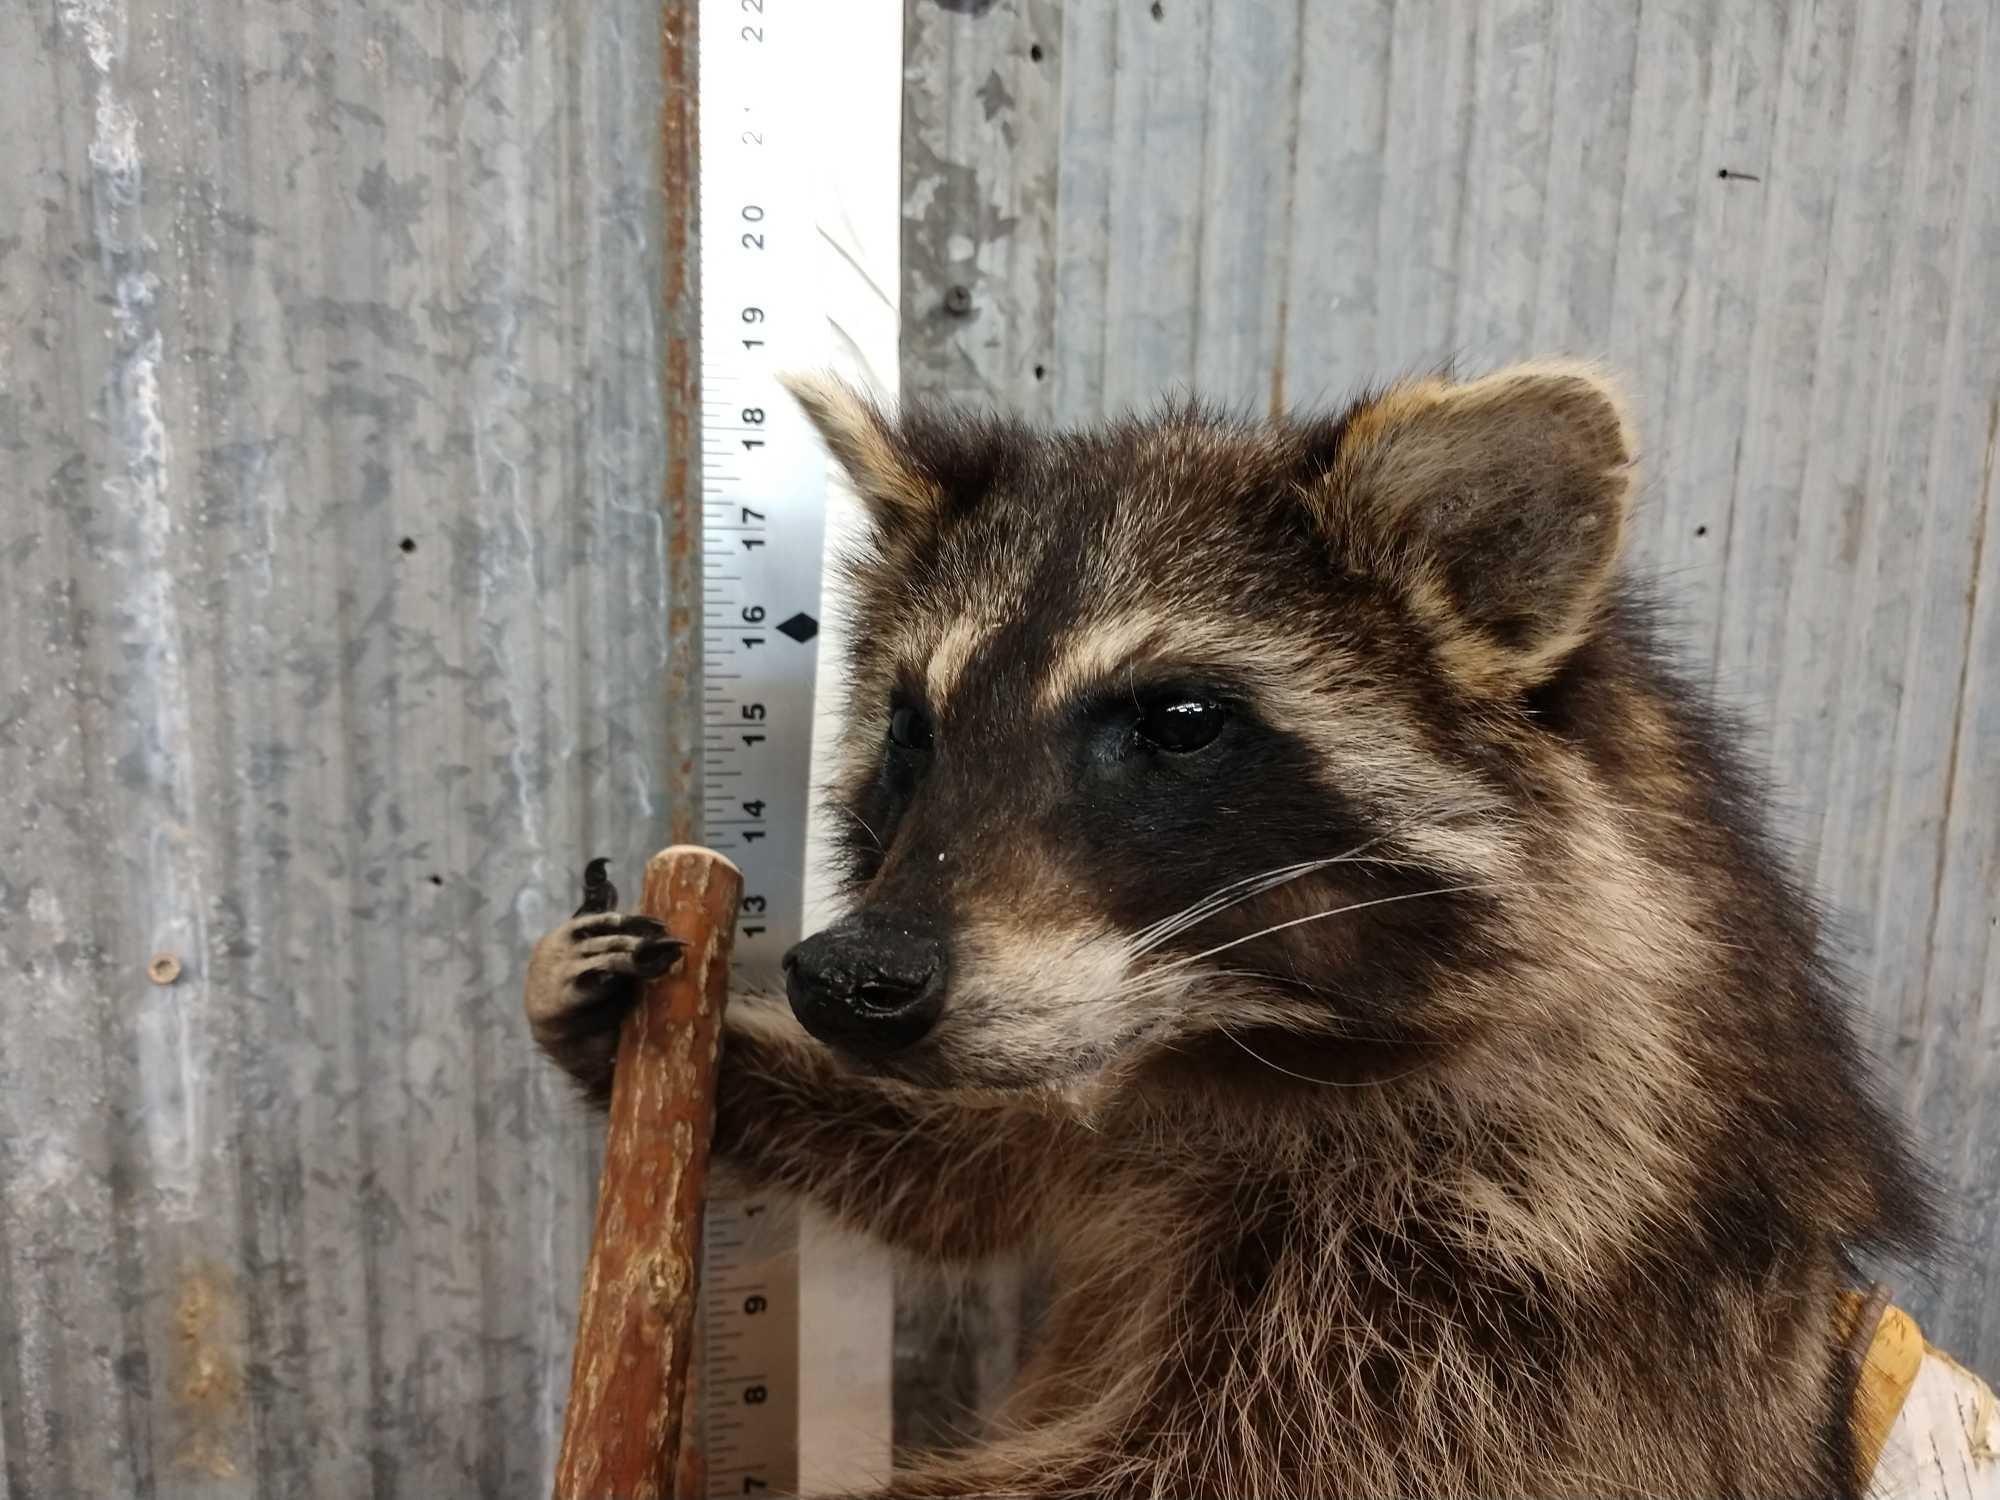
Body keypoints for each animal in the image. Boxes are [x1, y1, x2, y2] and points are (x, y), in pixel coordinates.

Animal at [524, 368, 1928, 1500]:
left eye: (1180, 722)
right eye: (914, 729)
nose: (847, 977)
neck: (1228, 1037)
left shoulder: (1504, 1270)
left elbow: (1194, 1467)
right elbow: (966, 1163)